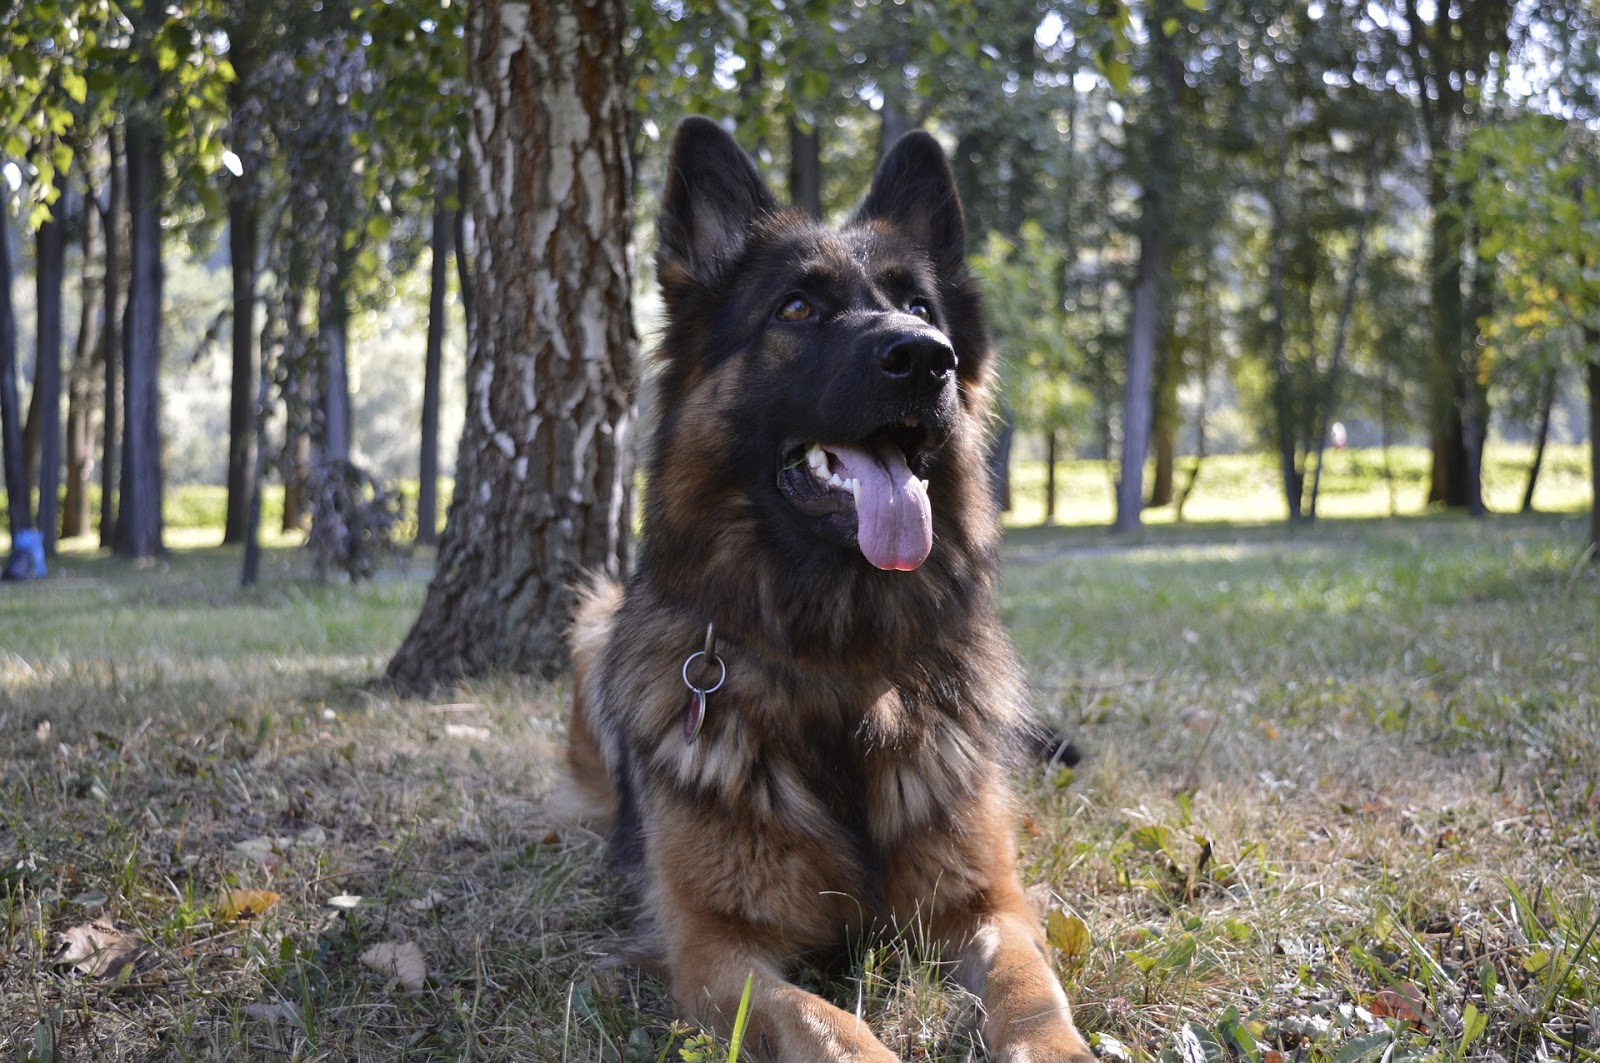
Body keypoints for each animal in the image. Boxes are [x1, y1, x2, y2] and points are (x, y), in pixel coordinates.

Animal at [560, 118, 1088, 1063]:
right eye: (796, 309)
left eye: (922, 308)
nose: (926, 360)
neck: (840, 660)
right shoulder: (715, 949)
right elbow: (828, 1021)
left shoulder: (989, 905)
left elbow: (1033, 993)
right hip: (590, 620)